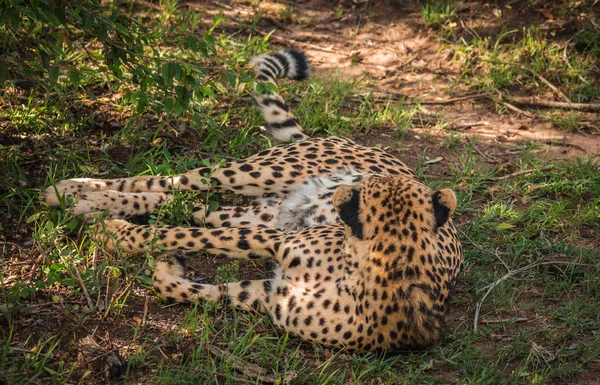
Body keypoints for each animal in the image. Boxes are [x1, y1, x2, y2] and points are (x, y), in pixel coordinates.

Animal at [43, 48, 464, 352]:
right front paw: (119, 235)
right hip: (260, 172)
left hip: (264, 212)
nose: (354, 184)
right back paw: (72, 190)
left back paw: (89, 203)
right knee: (171, 180)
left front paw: (156, 263)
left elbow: (193, 280)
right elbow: (183, 235)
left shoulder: (268, 291)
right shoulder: (276, 243)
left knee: (184, 204)